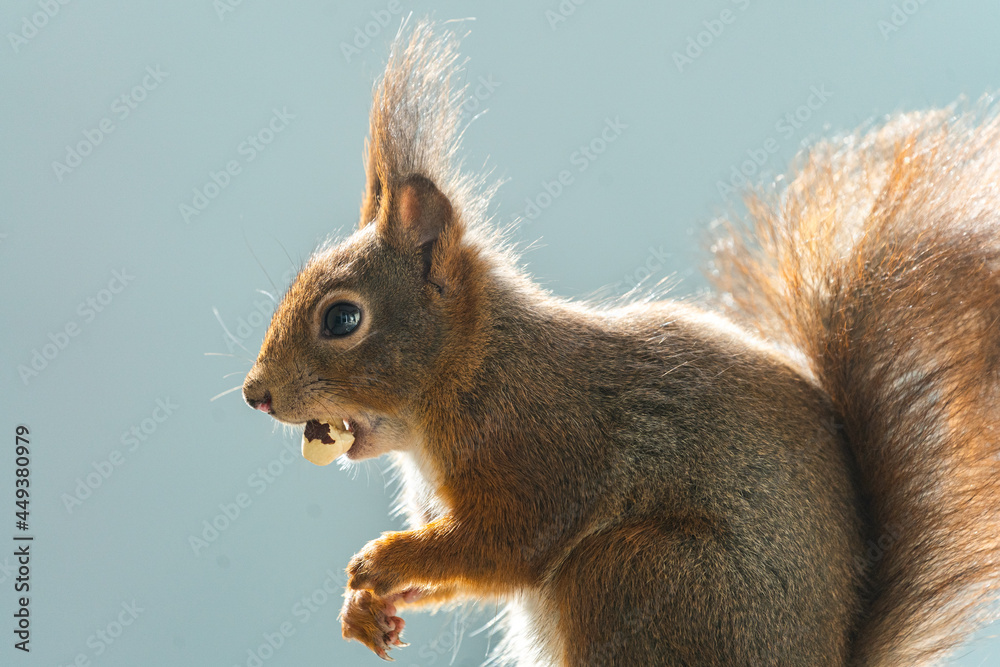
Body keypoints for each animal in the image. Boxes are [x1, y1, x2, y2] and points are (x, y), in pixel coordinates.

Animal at [241, 19, 1000, 667]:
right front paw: (364, 608)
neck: (473, 369)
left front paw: (382, 562)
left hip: (637, 573)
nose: (255, 395)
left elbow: (502, 547)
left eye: (343, 320)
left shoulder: (541, 446)